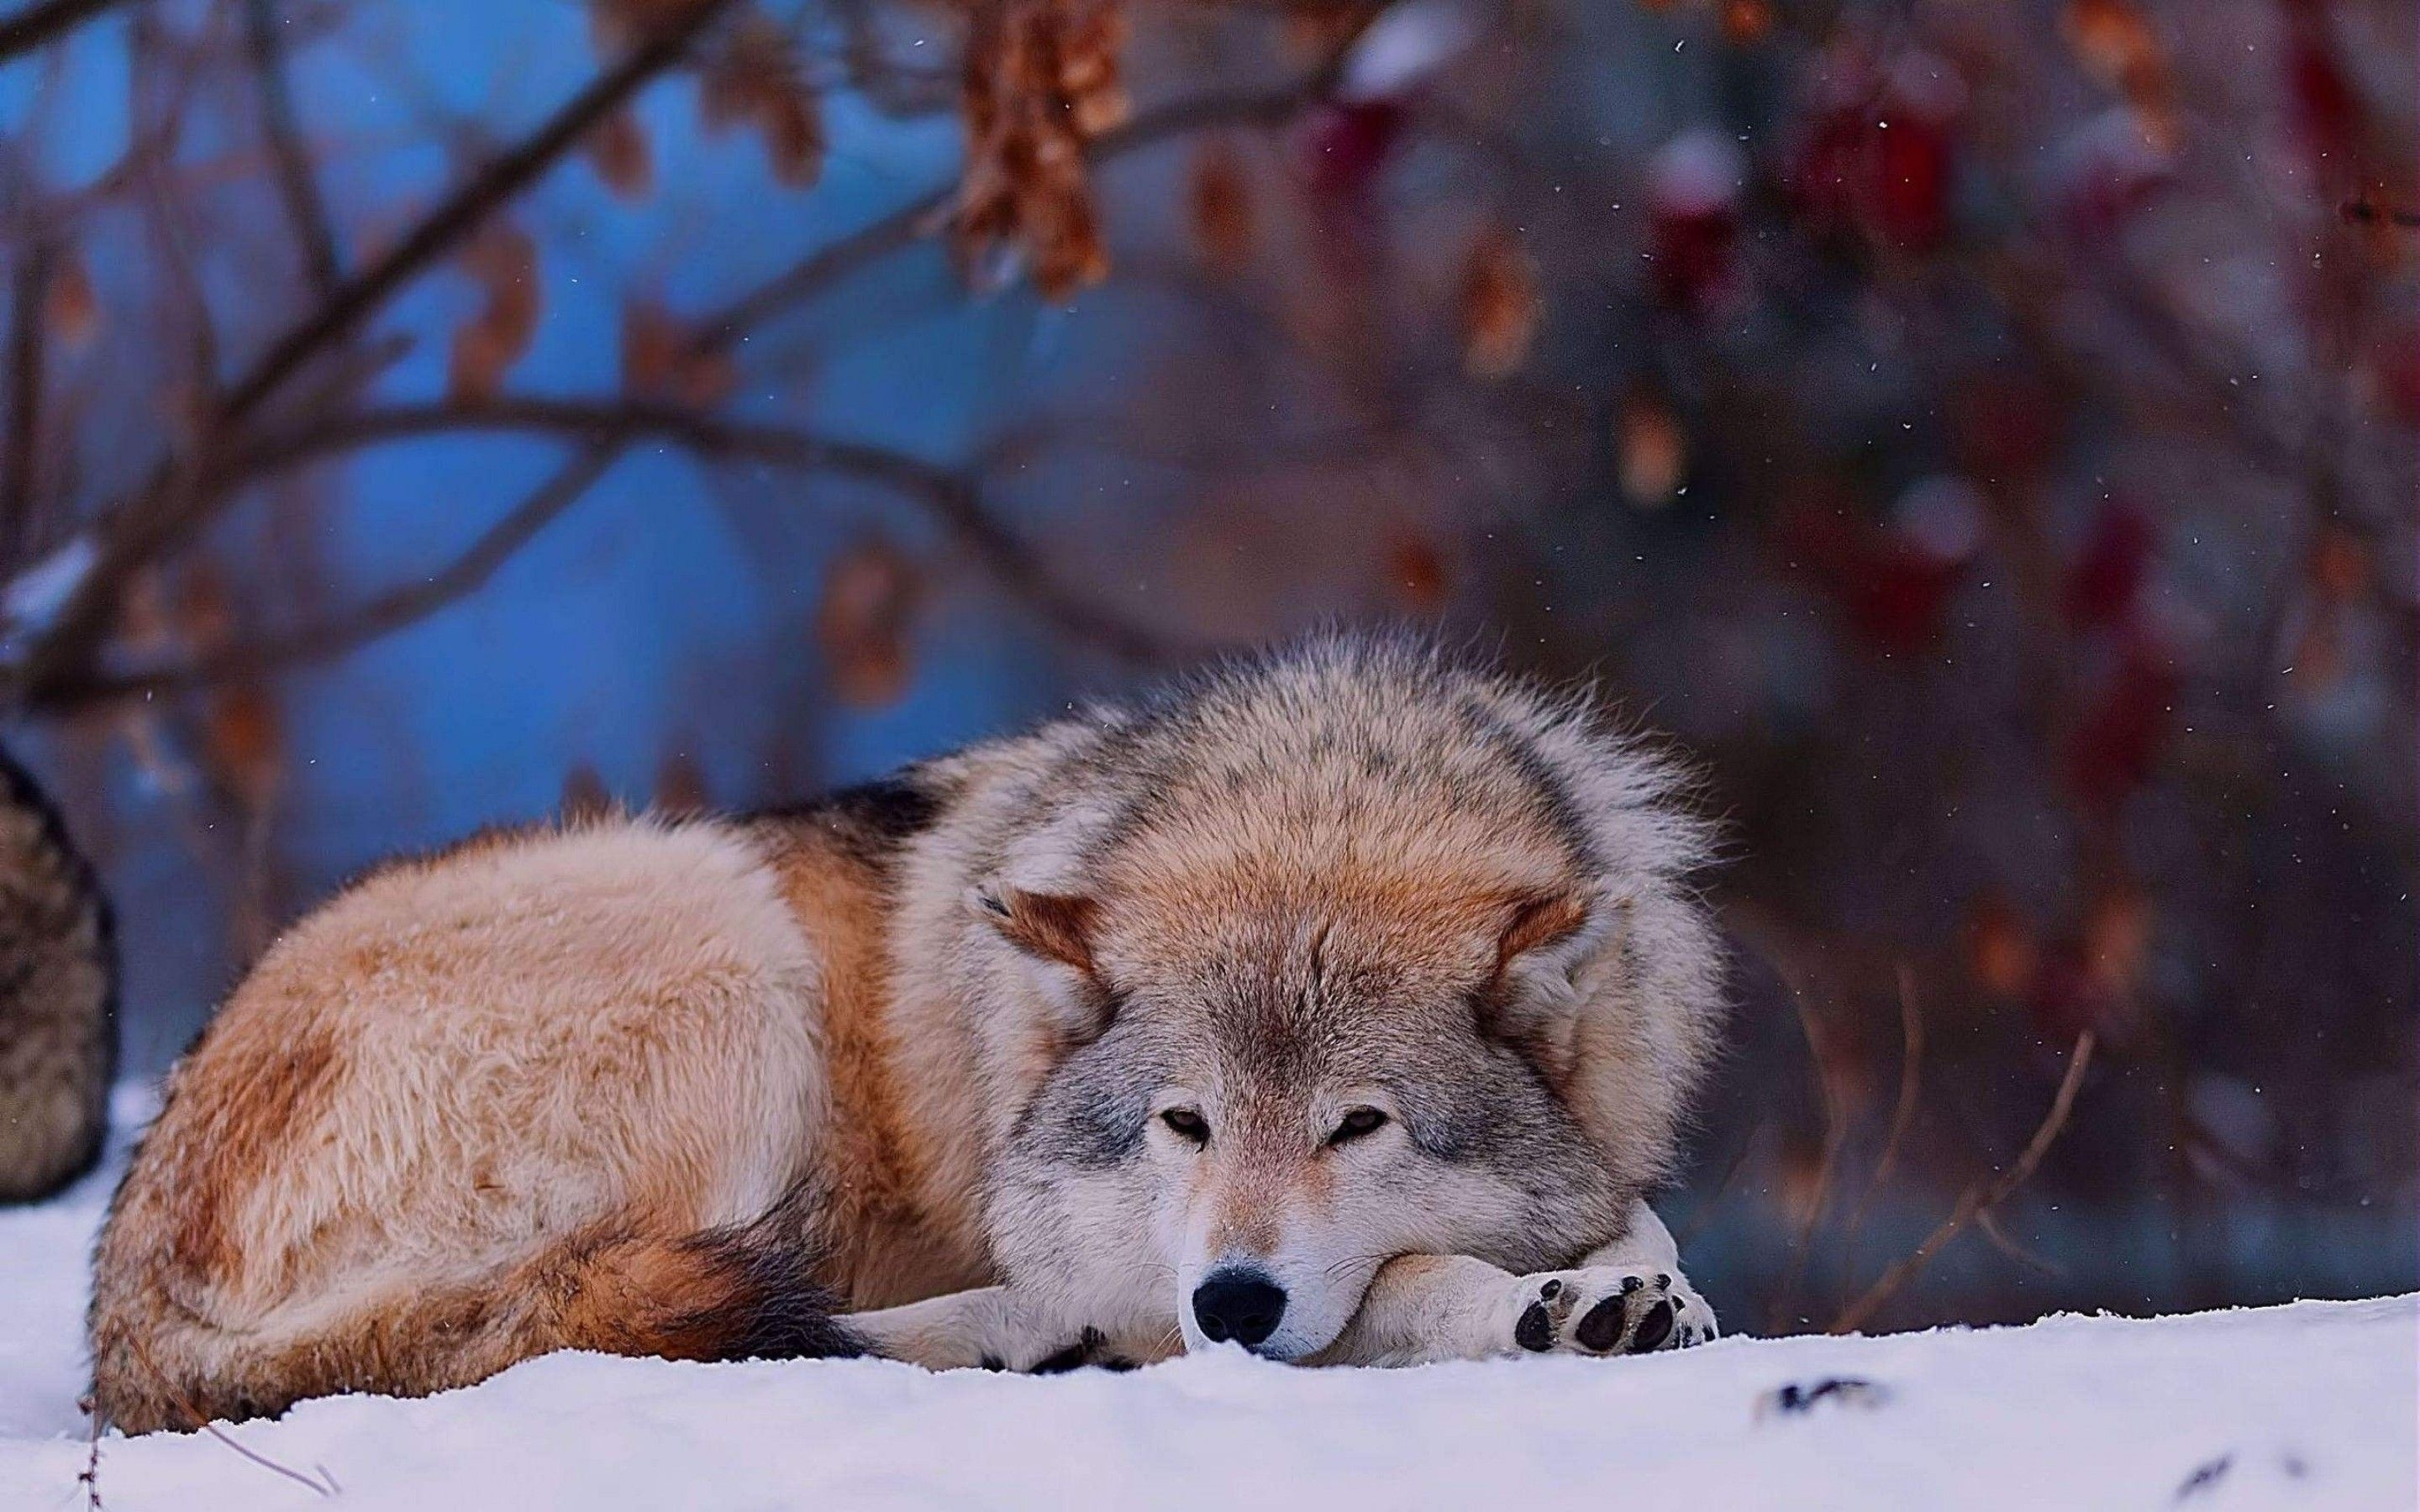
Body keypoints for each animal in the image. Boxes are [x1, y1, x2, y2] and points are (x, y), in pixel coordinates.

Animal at [89, 633, 1723, 1422]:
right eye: (1183, 1125)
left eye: (1358, 1126)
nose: (1234, 1301)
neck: (1321, 794)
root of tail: (123, 1293)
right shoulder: (1156, 1268)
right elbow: (1401, 1285)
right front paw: (1537, 1307)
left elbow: (1635, 1217)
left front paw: (1626, 1289)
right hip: (727, 946)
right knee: (662, 1328)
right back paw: (1033, 1340)